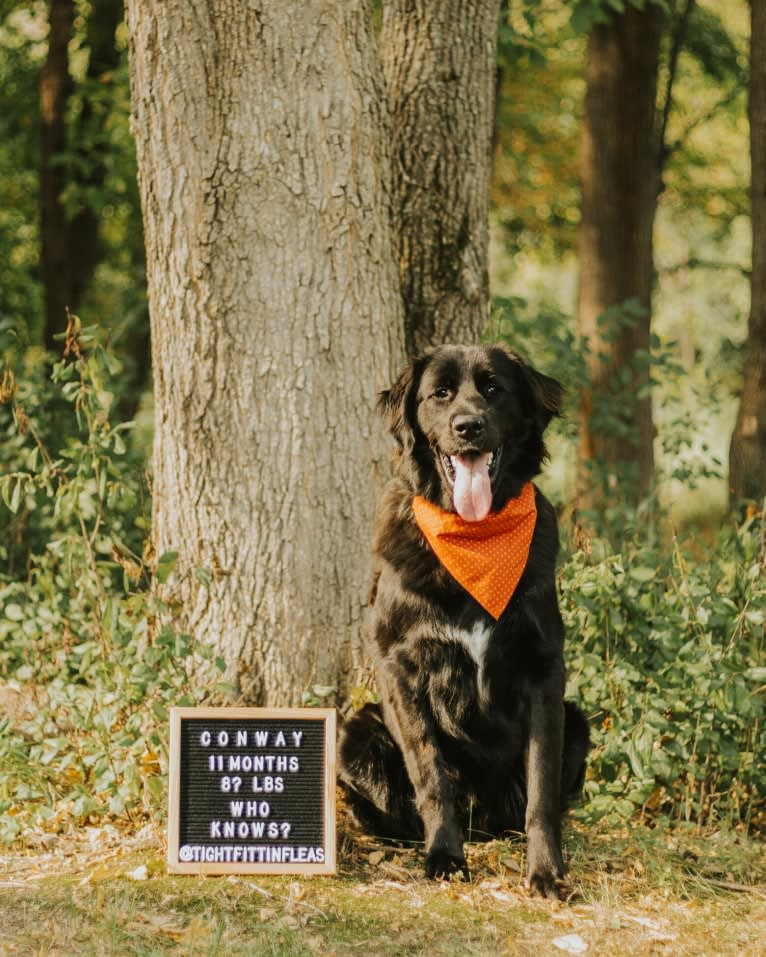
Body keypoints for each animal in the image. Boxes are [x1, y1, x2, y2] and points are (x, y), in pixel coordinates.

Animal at [340, 344, 592, 896]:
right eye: (440, 393)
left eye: (493, 388)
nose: (468, 426)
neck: (475, 540)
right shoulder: (402, 667)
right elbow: (432, 775)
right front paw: (444, 857)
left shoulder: (544, 671)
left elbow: (541, 788)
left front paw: (546, 871)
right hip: (356, 733)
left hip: (578, 721)